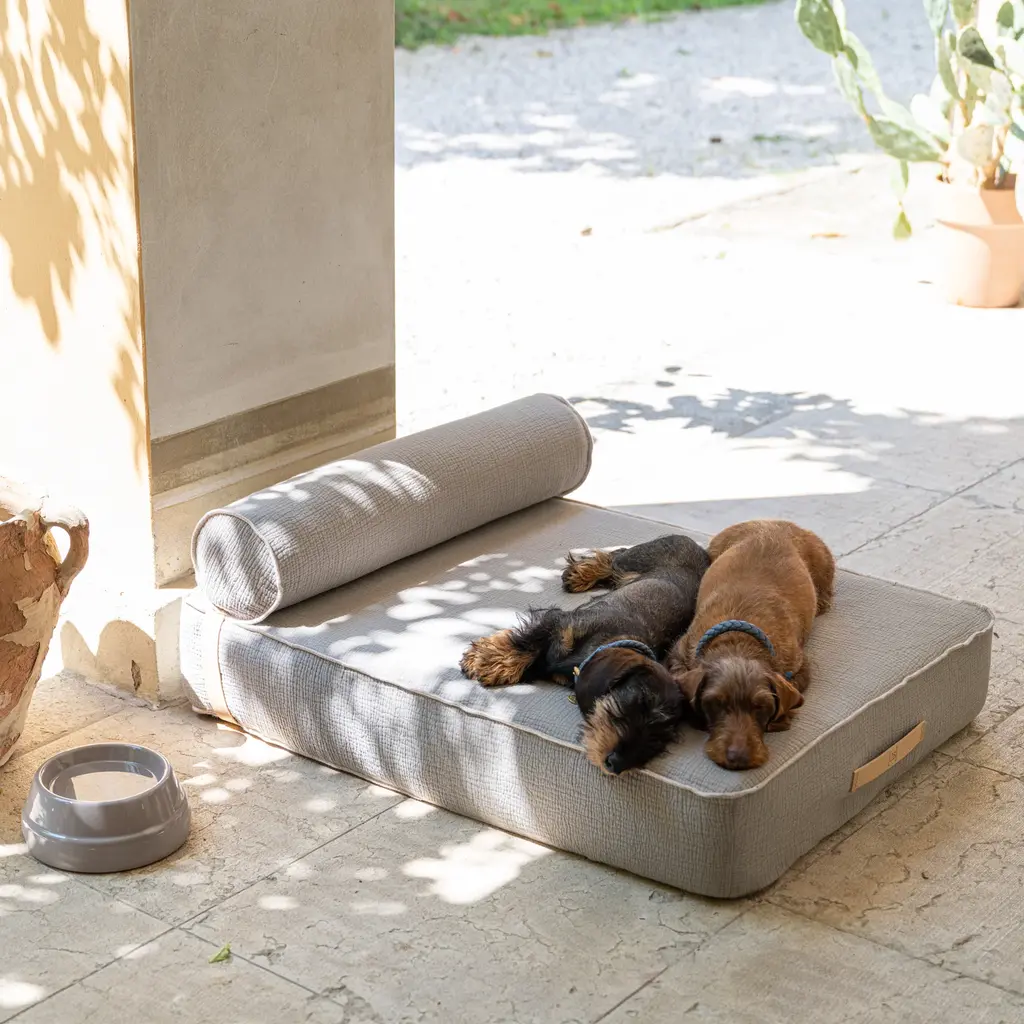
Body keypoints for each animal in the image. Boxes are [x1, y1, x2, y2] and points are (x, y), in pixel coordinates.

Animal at [460, 534, 709, 774]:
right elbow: (527, 644)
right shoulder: (559, 623)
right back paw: (578, 574)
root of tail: (698, 547)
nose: (617, 765)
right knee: (612, 557)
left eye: (662, 737)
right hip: (634, 559)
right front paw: (484, 660)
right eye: (640, 702)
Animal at [668, 520, 835, 771]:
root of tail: (772, 521)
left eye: (761, 706)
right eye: (715, 703)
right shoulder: (680, 651)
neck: (739, 642)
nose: (739, 758)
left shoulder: (800, 666)